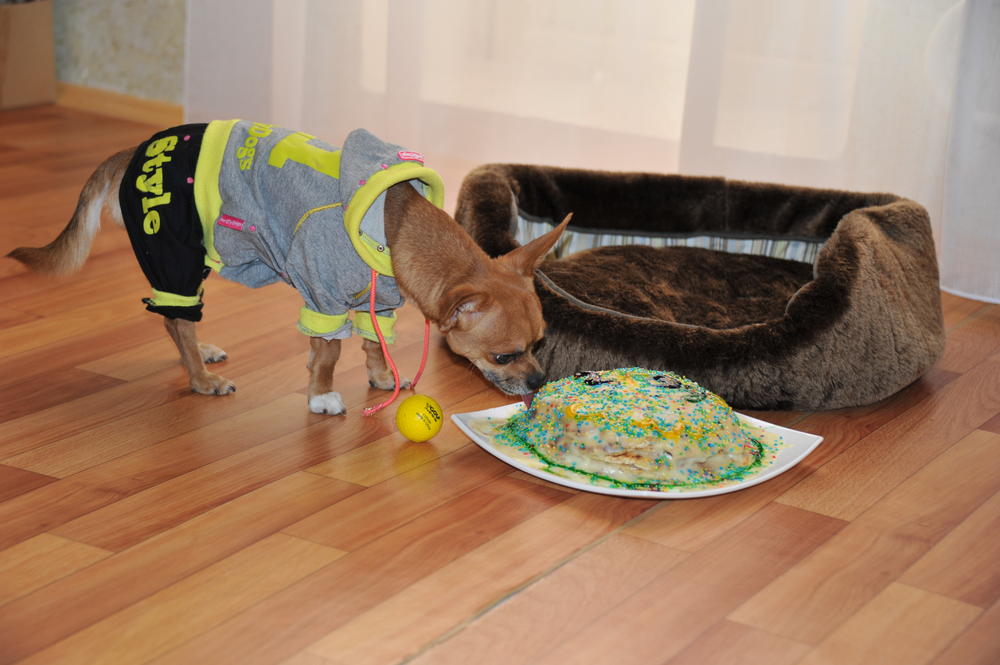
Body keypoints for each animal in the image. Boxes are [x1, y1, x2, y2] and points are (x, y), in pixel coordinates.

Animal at [7, 121, 568, 415]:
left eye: (541, 345)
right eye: (503, 356)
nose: (539, 380)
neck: (392, 226)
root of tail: (133, 151)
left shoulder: (377, 302)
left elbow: (371, 341)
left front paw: (379, 375)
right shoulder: (323, 299)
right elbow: (326, 354)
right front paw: (321, 397)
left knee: (174, 320)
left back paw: (200, 354)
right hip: (176, 256)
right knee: (175, 317)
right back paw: (200, 378)